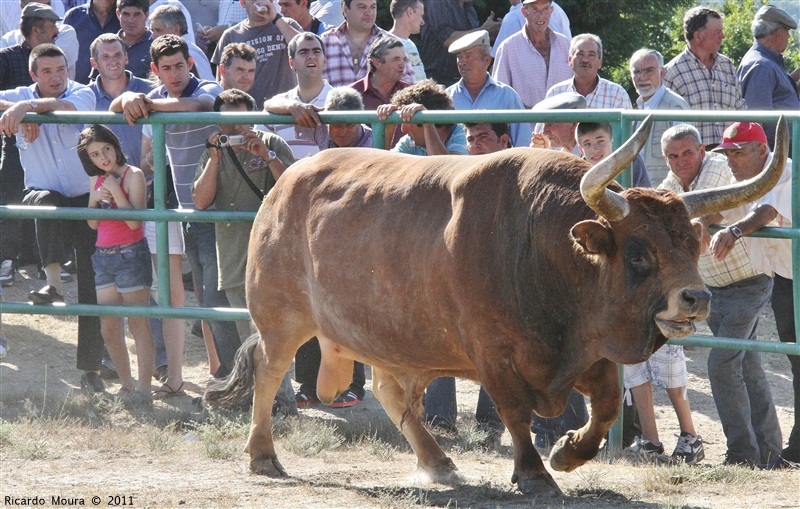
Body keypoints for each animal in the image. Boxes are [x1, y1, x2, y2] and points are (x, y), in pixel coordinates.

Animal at [205, 116, 788, 496]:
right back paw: (263, 455)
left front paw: (568, 451)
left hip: (396, 339)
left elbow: (603, 408)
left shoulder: (588, 351)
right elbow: (513, 412)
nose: (697, 297)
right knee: (268, 372)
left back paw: (439, 463)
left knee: (393, 393)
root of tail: (286, 181)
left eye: (691, 244)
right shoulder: (495, 355)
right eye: (639, 252)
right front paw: (534, 473)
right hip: (281, 317)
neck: (542, 243)